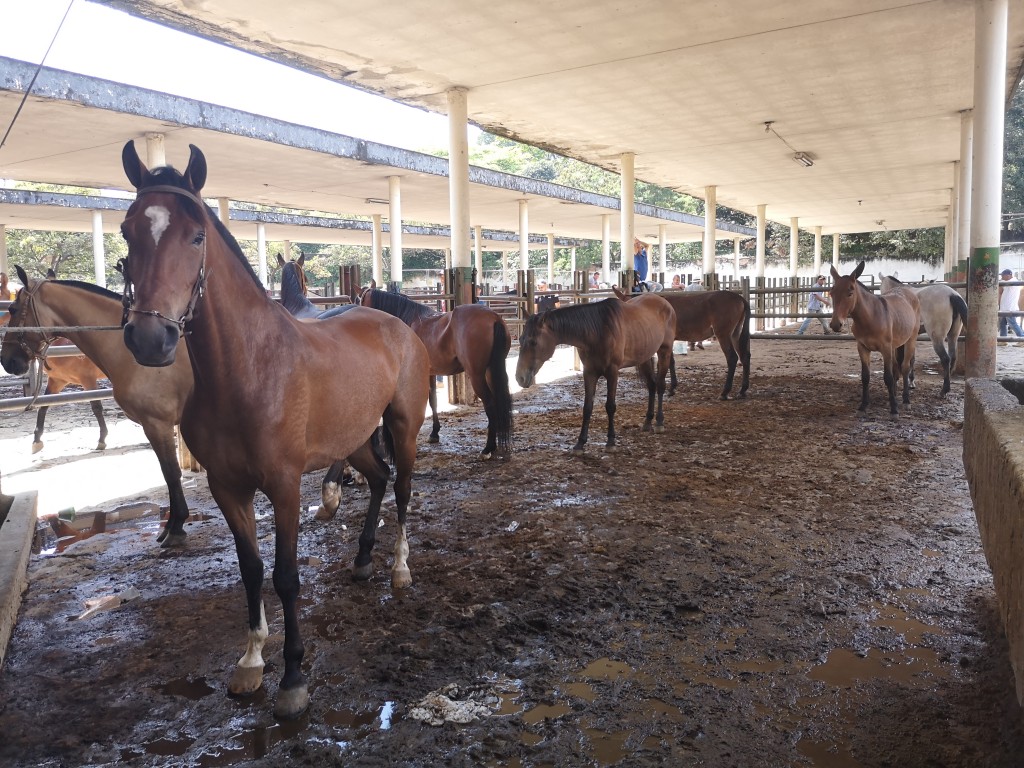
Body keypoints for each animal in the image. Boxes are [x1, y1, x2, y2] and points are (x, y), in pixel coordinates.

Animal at [118, 141, 429, 719]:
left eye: (195, 235)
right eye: (128, 232)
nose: (150, 338)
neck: (250, 369)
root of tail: (396, 323)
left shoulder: (283, 487)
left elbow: (285, 576)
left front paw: (292, 677)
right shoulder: (228, 488)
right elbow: (251, 569)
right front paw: (250, 661)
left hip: (403, 426)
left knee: (400, 488)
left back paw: (399, 568)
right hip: (354, 438)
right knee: (377, 480)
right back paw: (361, 559)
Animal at [360, 284, 513, 458]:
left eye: (360, 301)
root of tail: (494, 318)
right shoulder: (431, 373)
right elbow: (433, 400)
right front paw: (434, 433)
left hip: (477, 375)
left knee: (490, 403)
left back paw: (488, 448)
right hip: (491, 371)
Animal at [515, 294, 675, 452]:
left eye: (533, 342)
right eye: (521, 339)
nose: (519, 378)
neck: (597, 331)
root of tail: (664, 302)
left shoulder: (612, 372)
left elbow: (610, 406)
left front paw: (611, 441)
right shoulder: (589, 372)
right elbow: (587, 407)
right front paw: (580, 443)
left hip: (664, 351)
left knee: (660, 386)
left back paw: (659, 422)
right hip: (644, 357)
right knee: (652, 386)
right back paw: (648, 421)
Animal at [613, 285, 750, 399]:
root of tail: (739, 298)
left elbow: (668, 362)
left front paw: (668, 387)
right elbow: (671, 362)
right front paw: (672, 387)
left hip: (723, 334)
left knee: (732, 358)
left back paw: (725, 392)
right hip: (735, 334)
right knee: (744, 357)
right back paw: (742, 390)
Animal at [829, 261, 920, 415]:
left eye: (850, 293)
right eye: (831, 293)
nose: (836, 324)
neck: (870, 318)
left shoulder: (885, 348)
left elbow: (888, 377)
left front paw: (894, 410)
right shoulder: (862, 348)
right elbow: (865, 377)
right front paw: (863, 405)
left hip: (910, 340)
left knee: (905, 368)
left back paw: (906, 400)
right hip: (895, 345)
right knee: (896, 368)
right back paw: (894, 395)